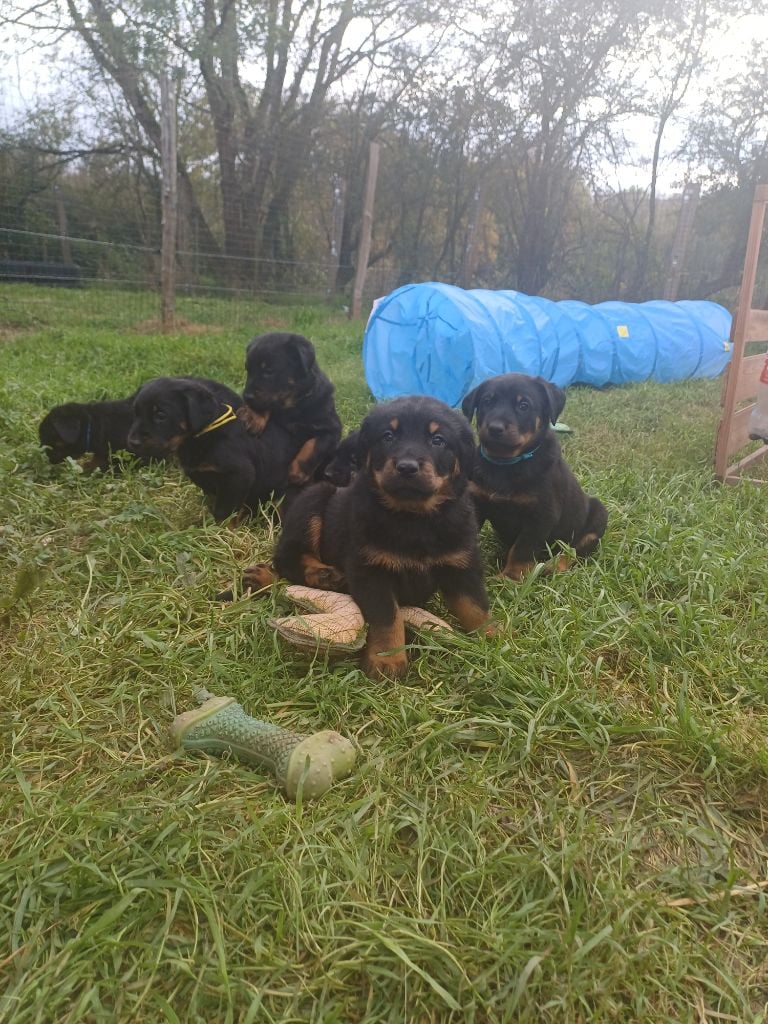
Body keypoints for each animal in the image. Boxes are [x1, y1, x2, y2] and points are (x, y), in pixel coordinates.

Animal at [128, 376, 292, 520]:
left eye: (161, 415)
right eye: (135, 413)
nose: (133, 442)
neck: (202, 436)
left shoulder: (238, 475)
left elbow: (224, 511)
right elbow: (214, 502)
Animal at [241, 329, 342, 485]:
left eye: (268, 371)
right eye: (248, 370)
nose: (246, 397)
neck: (293, 405)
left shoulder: (331, 429)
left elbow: (314, 445)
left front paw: (297, 472)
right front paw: (253, 415)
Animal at [247, 397, 499, 679]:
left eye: (438, 440)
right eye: (388, 436)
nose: (407, 467)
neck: (414, 517)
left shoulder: (461, 565)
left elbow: (476, 606)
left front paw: (497, 638)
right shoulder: (371, 570)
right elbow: (388, 617)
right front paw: (387, 660)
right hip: (315, 498)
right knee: (286, 558)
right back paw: (311, 575)